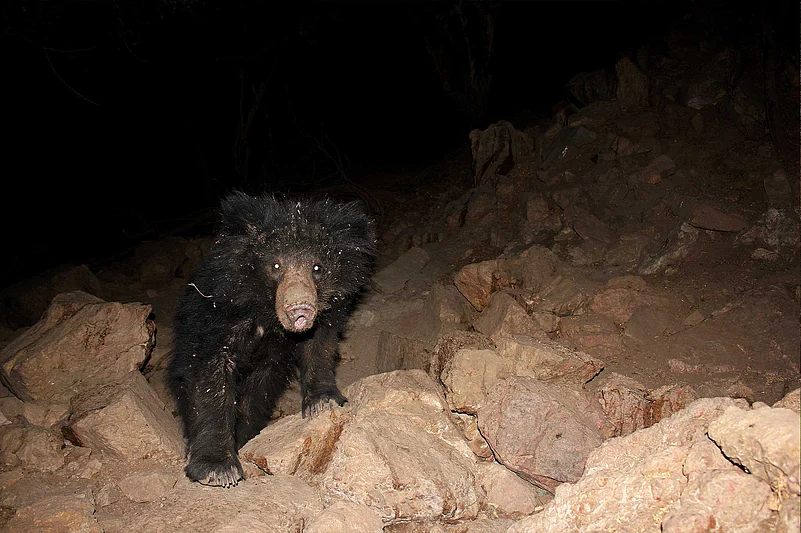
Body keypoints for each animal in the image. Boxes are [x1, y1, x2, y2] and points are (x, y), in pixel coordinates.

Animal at [168, 192, 376, 487]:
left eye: (317, 267)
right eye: (276, 266)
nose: (300, 309)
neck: (267, 314)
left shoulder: (325, 316)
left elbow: (319, 344)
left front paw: (323, 401)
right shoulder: (216, 317)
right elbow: (209, 378)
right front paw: (217, 469)